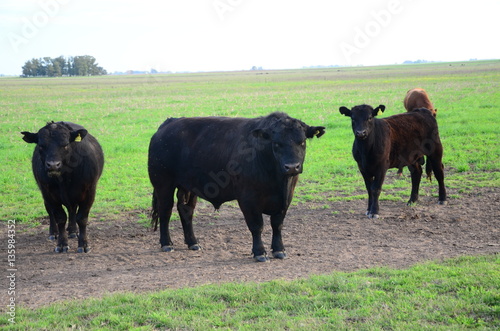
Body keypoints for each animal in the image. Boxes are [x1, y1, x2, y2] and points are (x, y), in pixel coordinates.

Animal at [21, 122, 103, 254]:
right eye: (41, 146)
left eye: (65, 145)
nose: (53, 165)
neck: (65, 178)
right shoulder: (49, 194)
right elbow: (60, 218)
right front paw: (62, 244)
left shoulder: (89, 192)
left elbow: (82, 218)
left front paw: (83, 244)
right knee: (51, 211)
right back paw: (54, 233)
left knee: (72, 210)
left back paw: (73, 231)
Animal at [146, 113, 324, 264]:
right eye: (276, 143)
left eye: (302, 142)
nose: (292, 167)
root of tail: (170, 122)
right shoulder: (248, 199)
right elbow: (257, 226)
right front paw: (260, 252)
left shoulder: (285, 199)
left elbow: (277, 224)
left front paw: (279, 250)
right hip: (163, 184)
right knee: (165, 211)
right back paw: (167, 244)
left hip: (188, 187)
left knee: (186, 210)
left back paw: (193, 243)